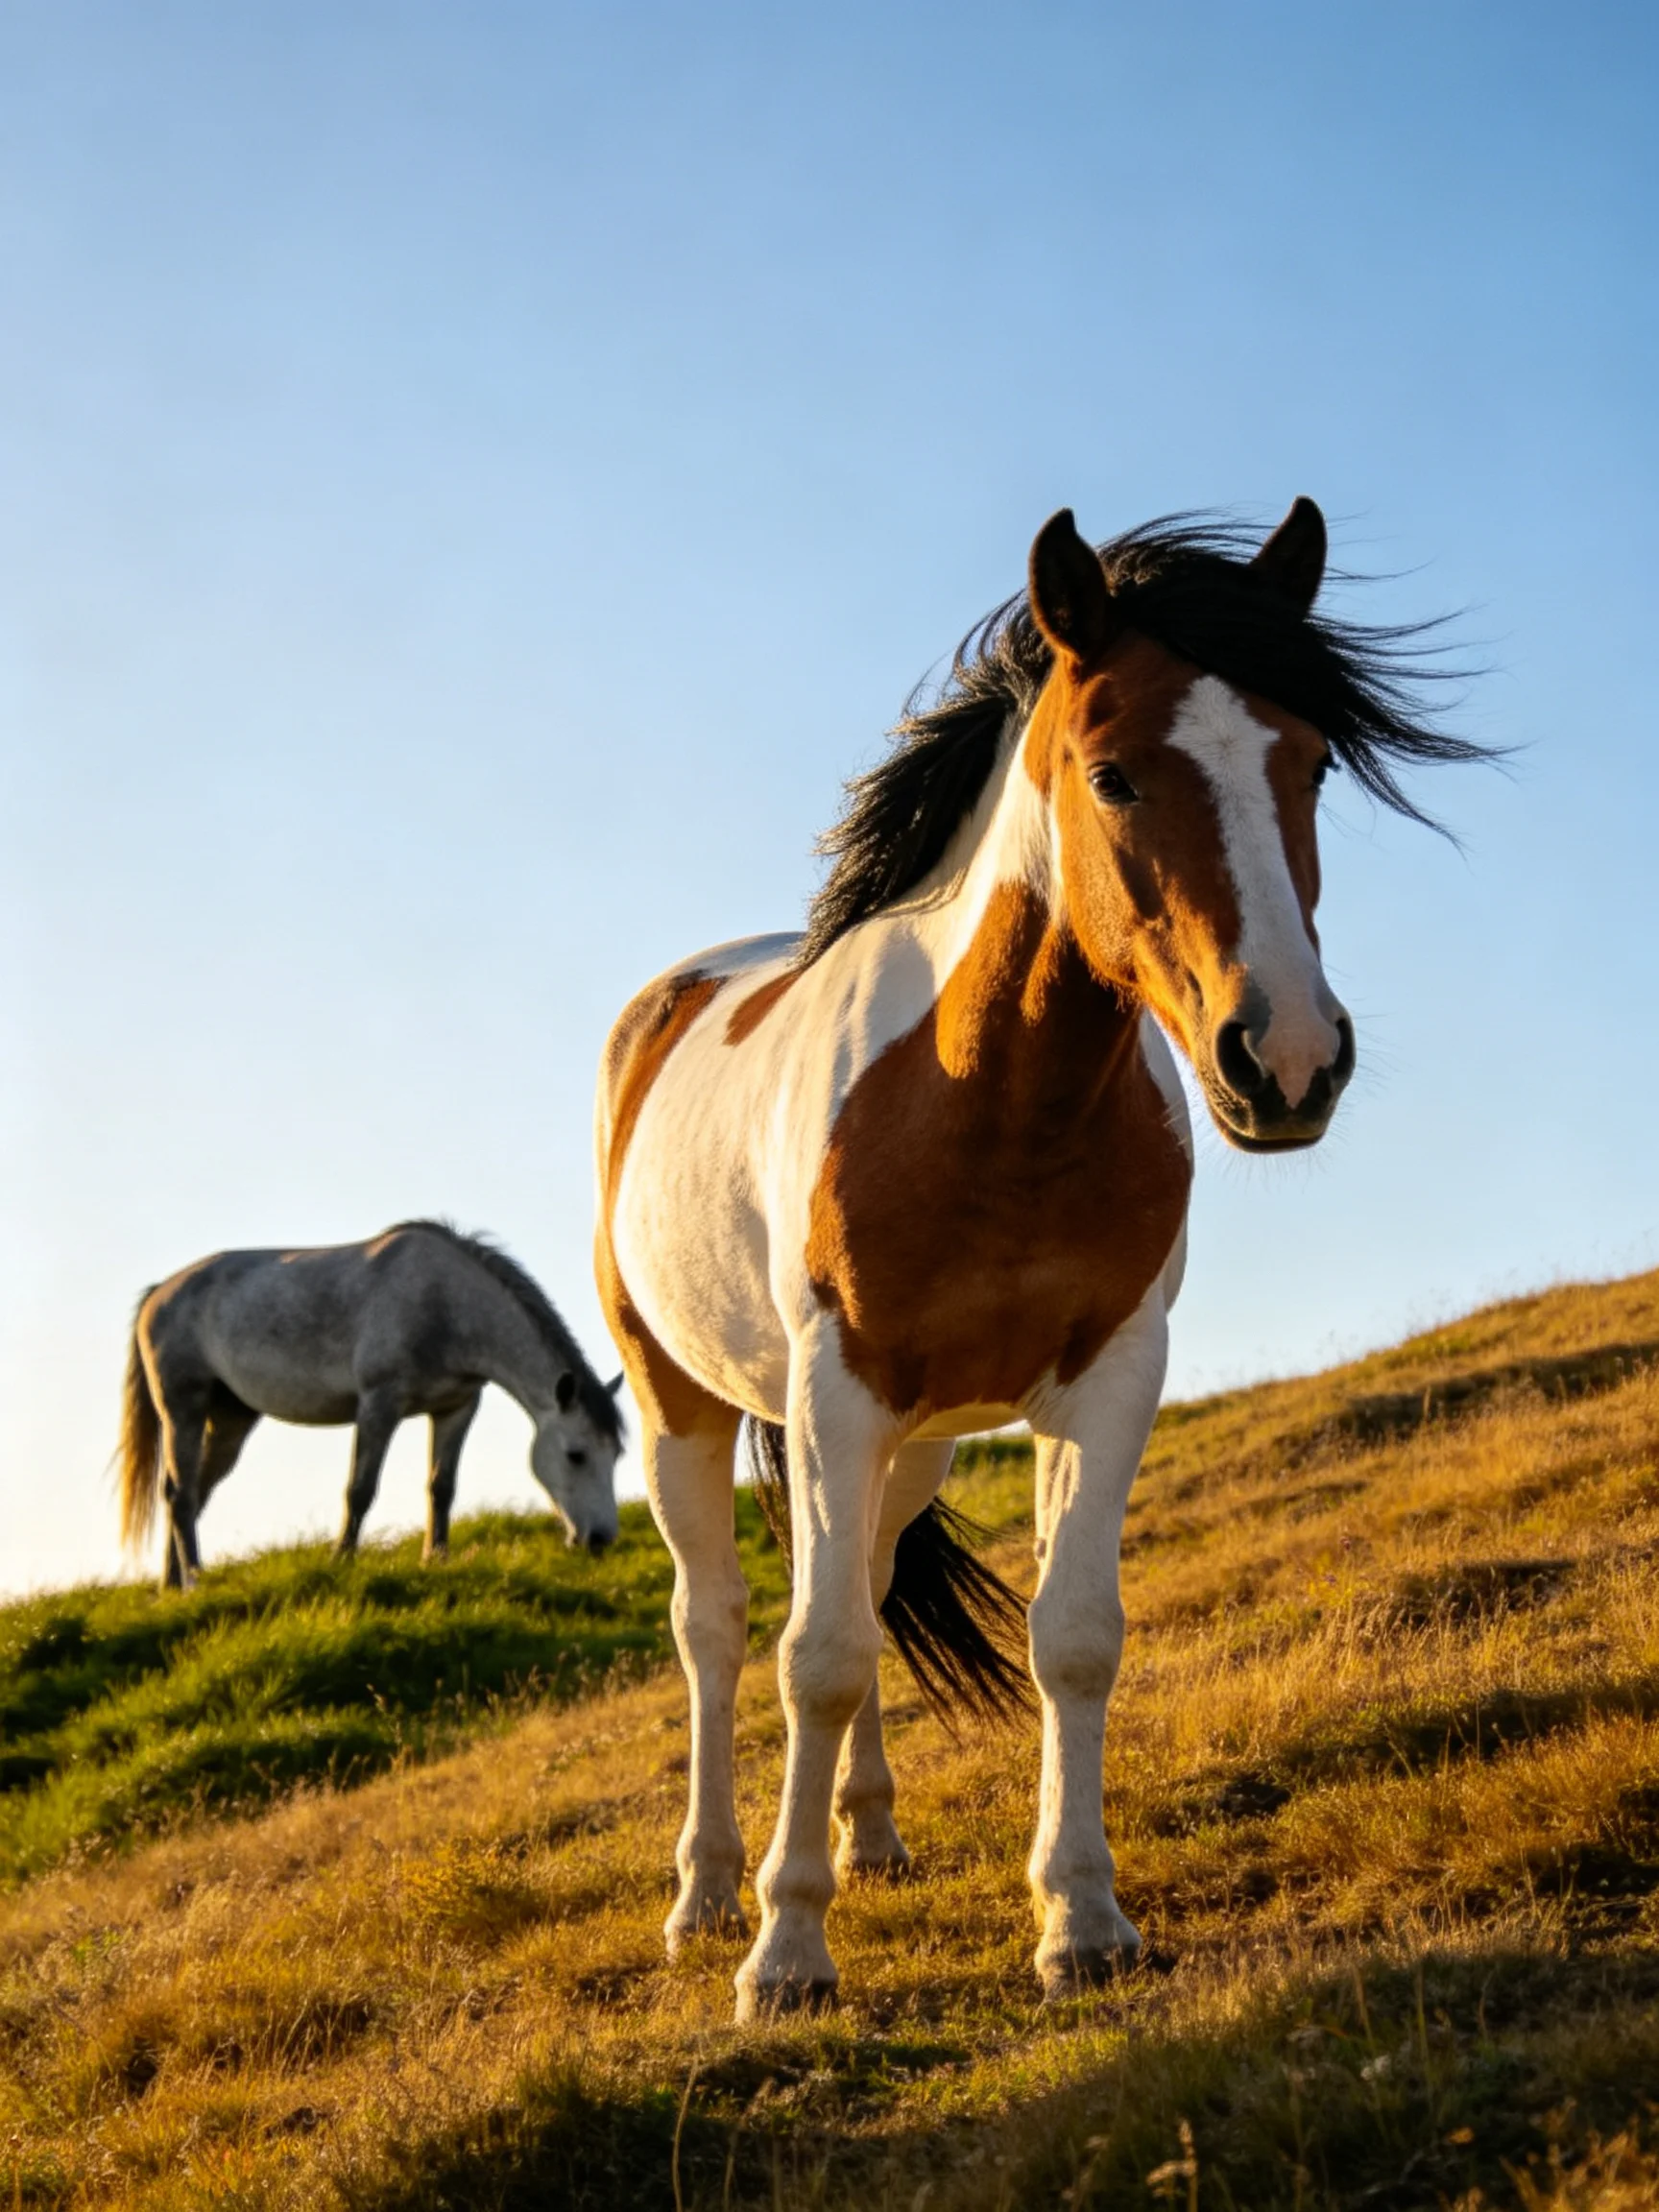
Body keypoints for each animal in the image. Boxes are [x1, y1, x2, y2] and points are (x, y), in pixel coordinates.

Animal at [119, 1221, 625, 1590]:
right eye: (576, 1455)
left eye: (616, 1455)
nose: (601, 1540)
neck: (444, 1304)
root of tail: (159, 1292)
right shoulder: (379, 1405)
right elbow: (359, 1490)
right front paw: (341, 1559)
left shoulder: (457, 1408)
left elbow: (442, 1487)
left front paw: (436, 1559)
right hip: (182, 1408)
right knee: (180, 1493)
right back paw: (193, 1579)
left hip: (230, 1420)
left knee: (193, 1491)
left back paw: (172, 1583)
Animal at [595, 497, 1485, 2019]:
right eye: (1113, 775)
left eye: (1309, 761)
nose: (1288, 1059)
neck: (987, 1099)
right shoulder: (836, 1389)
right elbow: (812, 1658)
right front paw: (788, 1954)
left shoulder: (1110, 1374)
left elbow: (1070, 1635)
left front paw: (1081, 1922)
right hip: (687, 1410)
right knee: (715, 1630)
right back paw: (707, 1893)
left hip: (914, 1442)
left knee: (865, 1579)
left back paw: (871, 1838)